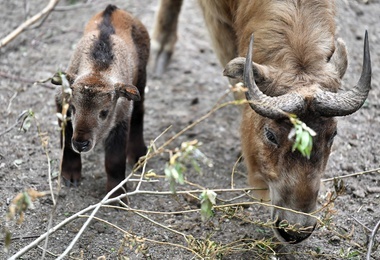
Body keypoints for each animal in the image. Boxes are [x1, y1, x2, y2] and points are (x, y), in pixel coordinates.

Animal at [52, 4, 150, 197]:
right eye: (73, 108)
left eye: (104, 112)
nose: (81, 143)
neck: (98, 69)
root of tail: (114, 8)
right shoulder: (62, 104)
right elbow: (66, 144)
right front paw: (70, 175)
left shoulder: (121, 119)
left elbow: (114, 161)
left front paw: (116, 195)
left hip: (141, 80)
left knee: (139, 112)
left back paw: (138, 154)